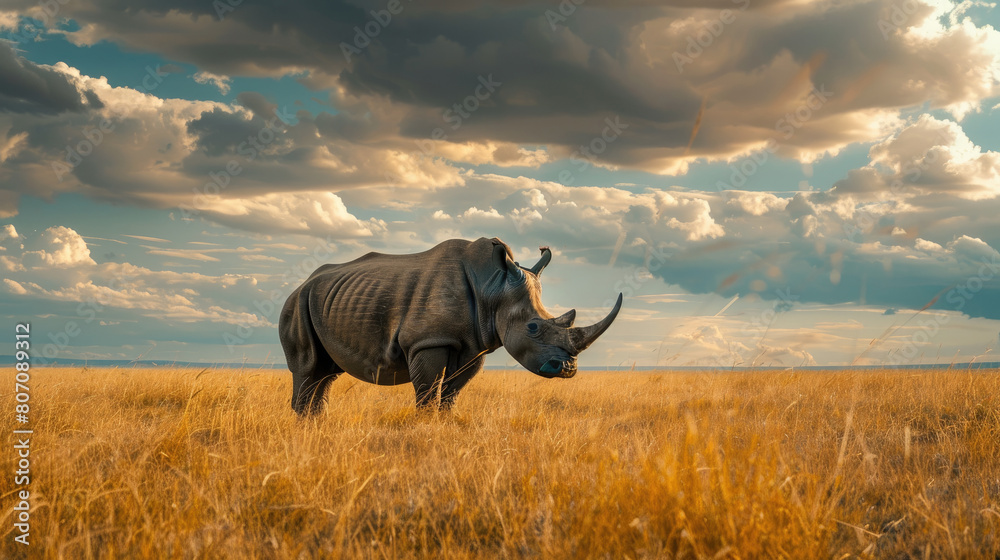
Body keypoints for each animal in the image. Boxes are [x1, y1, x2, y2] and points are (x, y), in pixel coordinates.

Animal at [278, 237, 623, 415]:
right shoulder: (429, 340)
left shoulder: (473, 345)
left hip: (324, 300)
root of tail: (301, 283)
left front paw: (443, 425)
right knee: (308, 369)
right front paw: (425, 428)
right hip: (296, 304)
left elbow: (451, 394)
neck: (492, 286)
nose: (567, 369)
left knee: (325, 374)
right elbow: (429, 392)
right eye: (533, 328)